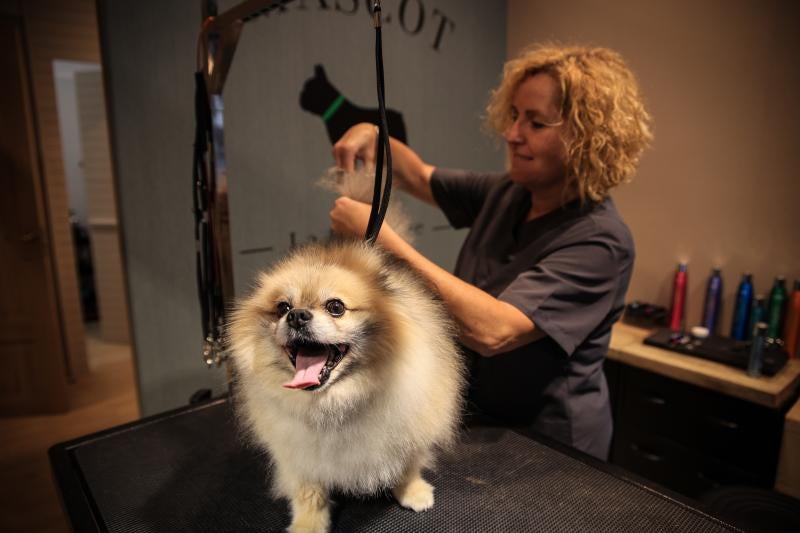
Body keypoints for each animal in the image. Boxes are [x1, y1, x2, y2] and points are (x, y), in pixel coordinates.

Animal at [227, 171, 462, 532]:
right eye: (282, 307)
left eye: (335, 307)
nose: (297, 316)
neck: (340, 401)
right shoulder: (299, 452)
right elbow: (308, 490)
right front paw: (308, 524)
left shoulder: (412, 419)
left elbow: (408, 461)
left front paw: (412, 490)